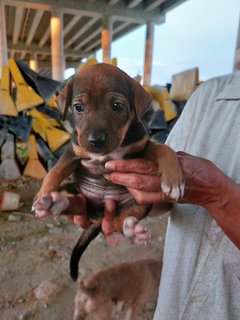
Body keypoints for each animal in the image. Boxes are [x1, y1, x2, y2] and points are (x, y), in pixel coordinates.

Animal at [32, 62, 184, 280]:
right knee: (75, 203)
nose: (95, 141)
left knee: (121, 220)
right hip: (74, 190)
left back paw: (132, 230)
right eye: (78, 107)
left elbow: (163, 148)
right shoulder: (73, 153)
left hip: (138, 203)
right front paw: (42, 193)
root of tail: (98, 214)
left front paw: (173, 180)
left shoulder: (141, 147)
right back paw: (53, 202)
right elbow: (55, 171)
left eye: (117, 106)